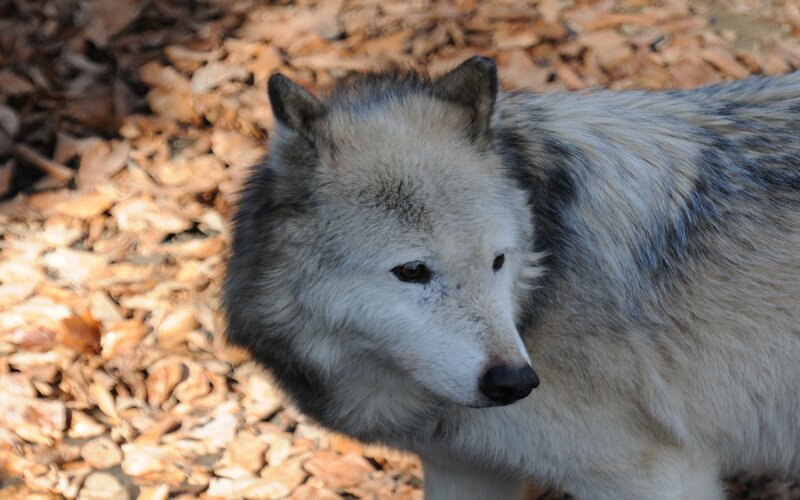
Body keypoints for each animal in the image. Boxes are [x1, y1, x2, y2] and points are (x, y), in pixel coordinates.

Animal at [223, 56, 800, 499]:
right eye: (412, 271)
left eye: (498, 261)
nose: (516, 382)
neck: (540, 299)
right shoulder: (462, 468)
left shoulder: (656, 475)